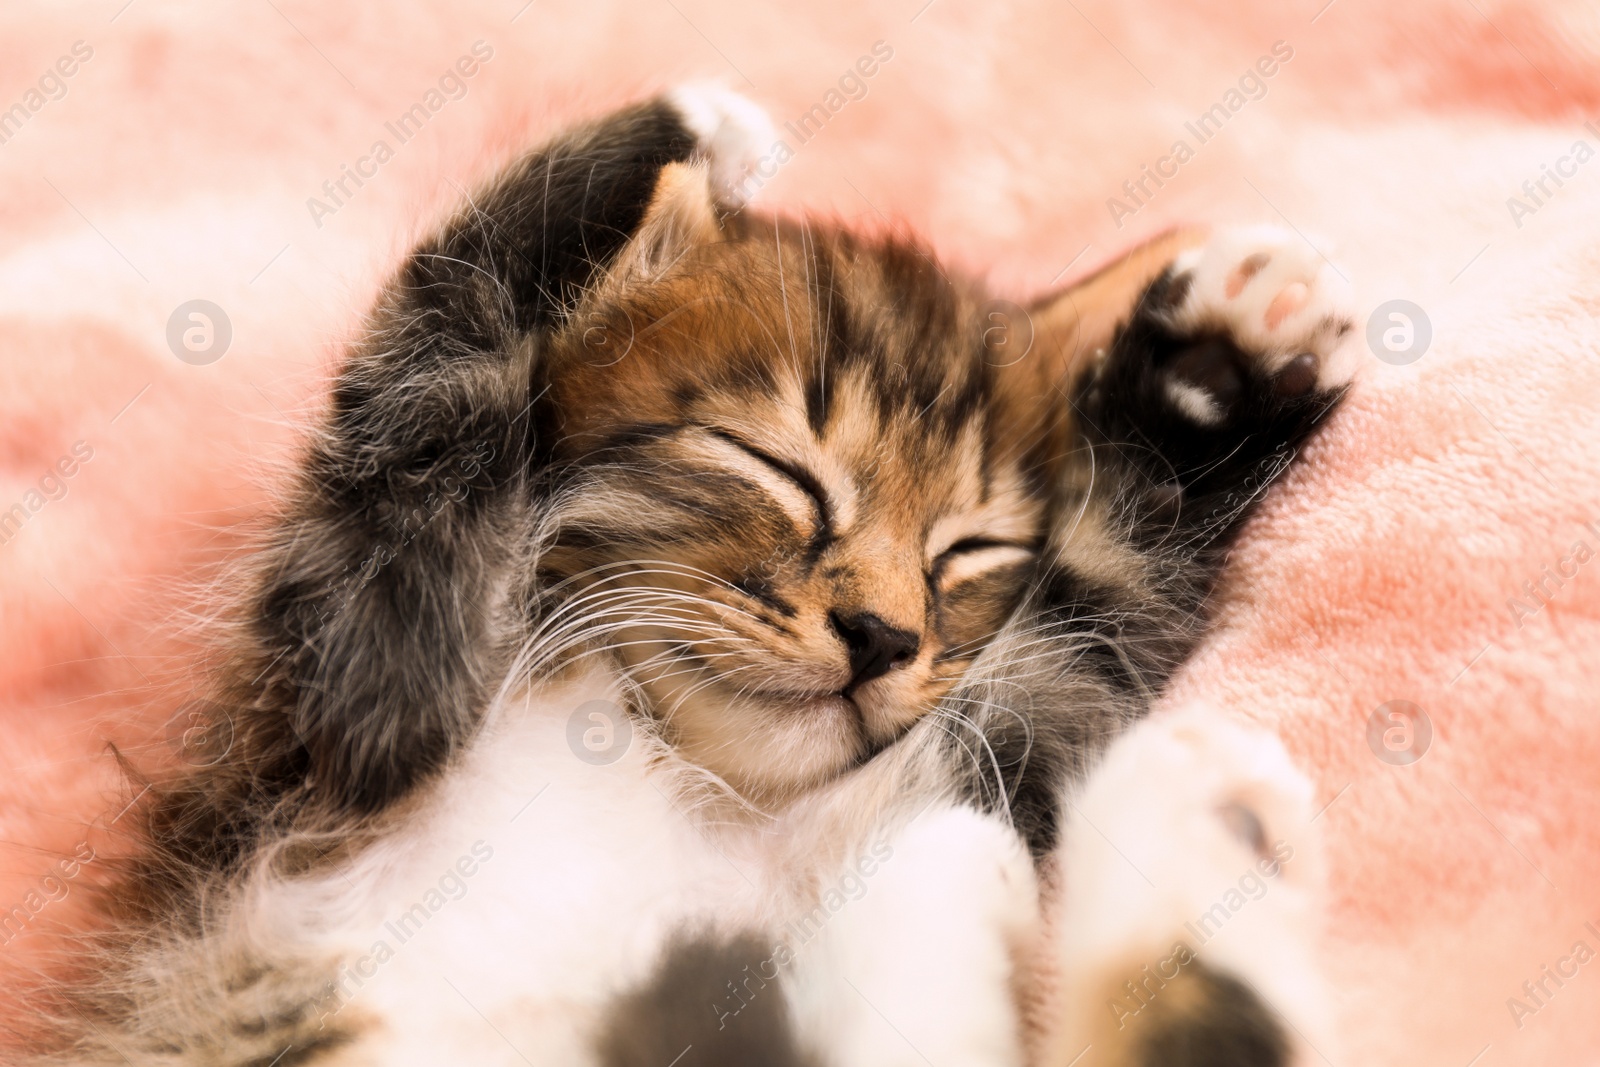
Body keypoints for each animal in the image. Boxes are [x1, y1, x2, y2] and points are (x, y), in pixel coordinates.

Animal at [25, 85, 1350, 1067]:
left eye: (968, 551)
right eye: (779, 469)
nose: (881, 634)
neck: (676, 765)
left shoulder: (995, 736)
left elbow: (1093, 619)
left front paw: (1211, 380)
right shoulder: (349, 685)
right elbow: (430, 358)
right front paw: (685, 129)